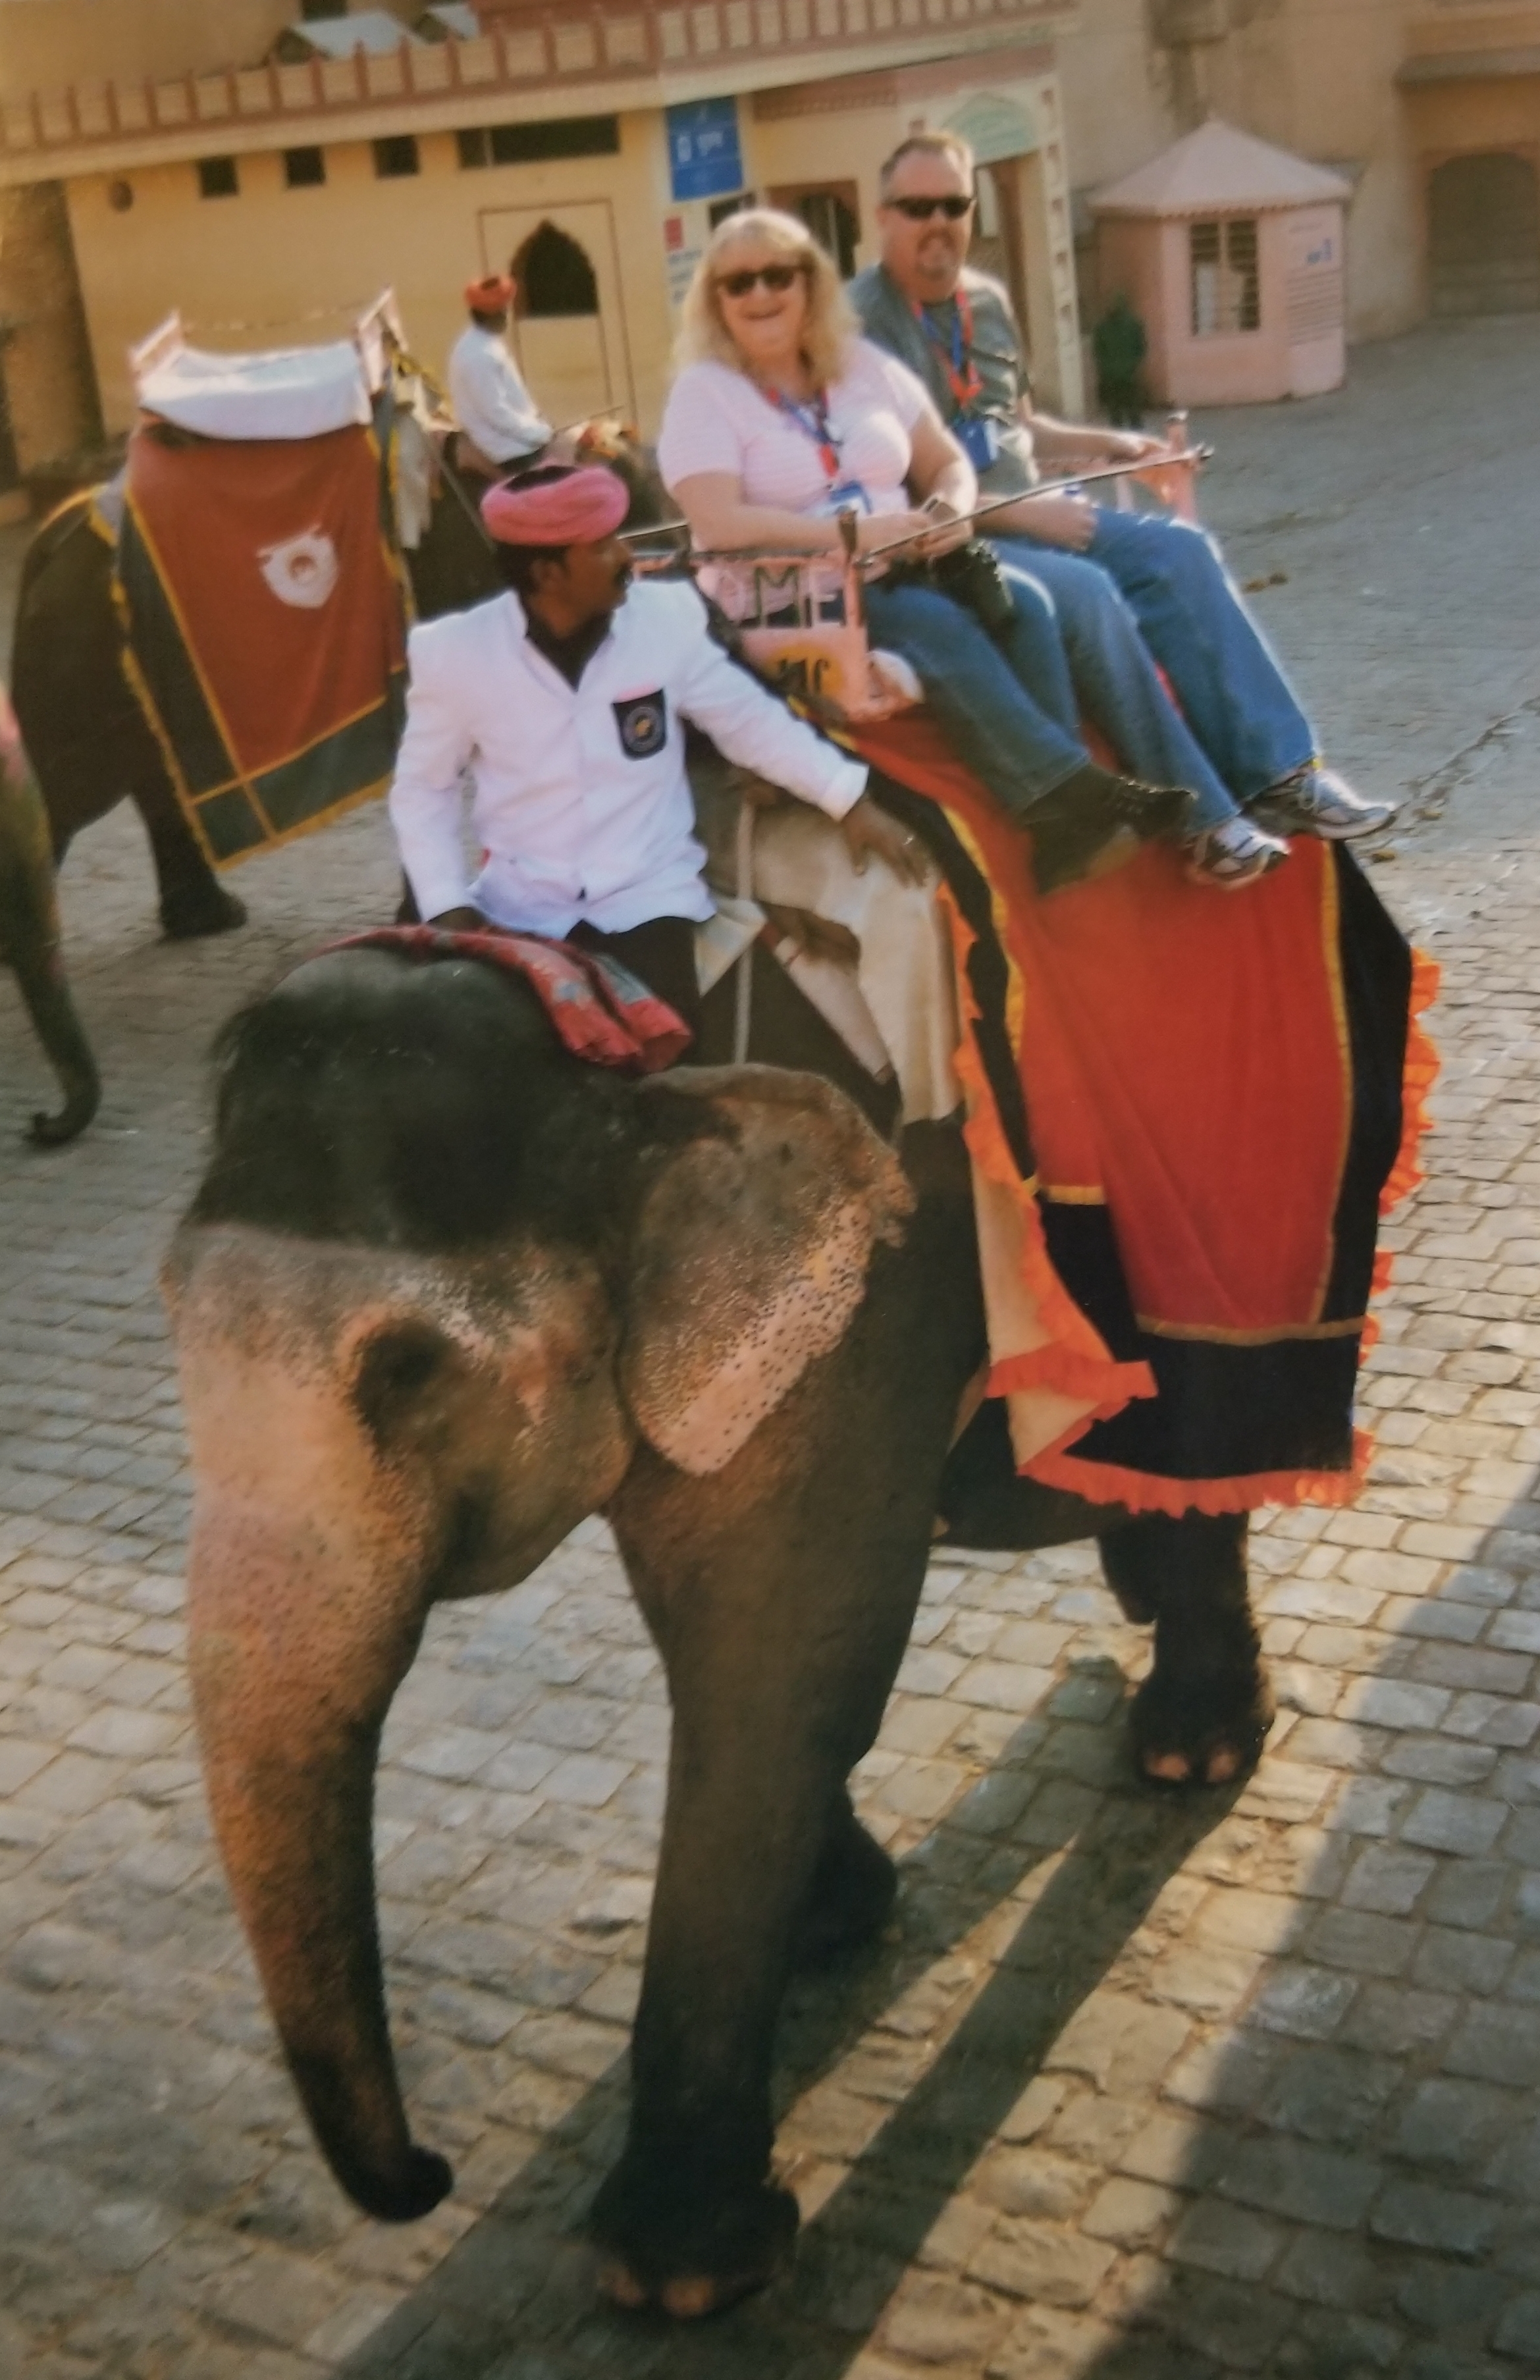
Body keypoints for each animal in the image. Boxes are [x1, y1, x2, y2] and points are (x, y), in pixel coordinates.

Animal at [166, 931, 1274, 2319]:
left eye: (404, 1371)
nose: (428, 2175)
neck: (603, 1021)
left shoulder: (870, 1289)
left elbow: (783, 1659)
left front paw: (677, 2279)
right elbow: (737, 1639)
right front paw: (833, 1922)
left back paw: (1192, 1751)